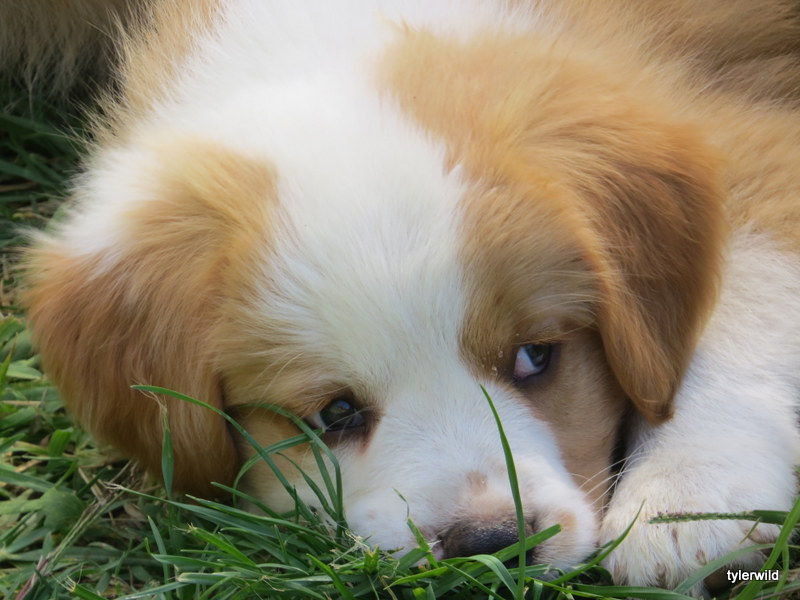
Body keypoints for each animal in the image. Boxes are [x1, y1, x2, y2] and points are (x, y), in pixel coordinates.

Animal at [9, 0, 800, 592]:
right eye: (335, 414)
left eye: (535, 357)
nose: (490, 544)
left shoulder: (748, 127)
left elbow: (751, 291)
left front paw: (685, 501)